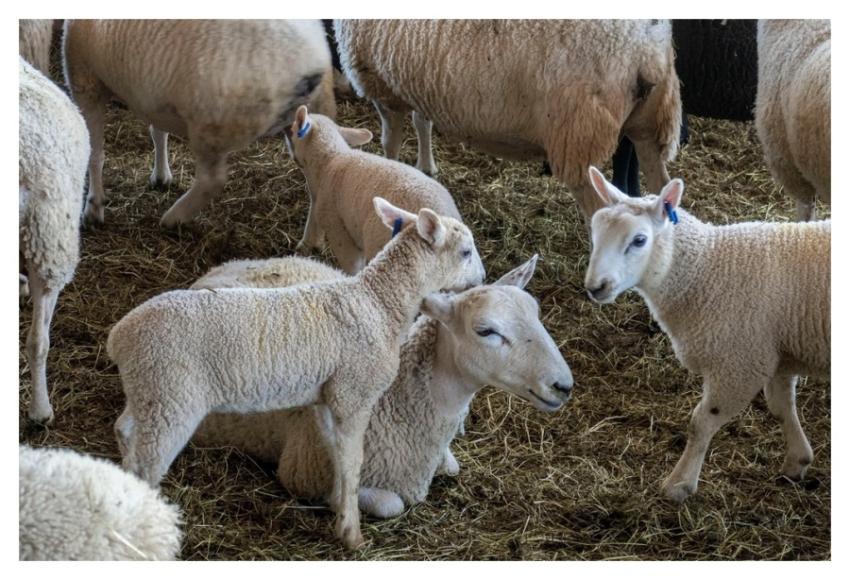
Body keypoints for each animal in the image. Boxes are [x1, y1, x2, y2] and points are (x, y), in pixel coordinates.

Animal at [62, 19, 336, 226]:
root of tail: (306, 62)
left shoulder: (84, 79)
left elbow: (94, 153)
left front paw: (94, 207)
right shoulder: (154, 91)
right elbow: (158, 132)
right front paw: (161, 175)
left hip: (211, 125)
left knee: (211, 181)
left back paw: (174, 217)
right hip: (314, 118)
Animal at [108, 199, 485, 549]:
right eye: (465, 252)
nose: (481, 280)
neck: (379, 304)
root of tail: (119, 336)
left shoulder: (327, 399)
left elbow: (335, 456)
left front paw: (338, 511)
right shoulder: (354, 394)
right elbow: (354, 463)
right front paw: (352, 534)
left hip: (149, 391)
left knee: (124, 431)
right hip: (173, 398)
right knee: (146, 466)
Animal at [191, 254, 573, 517]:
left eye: (537, 314)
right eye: (486, 331)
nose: (564, 385)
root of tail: (227, 268)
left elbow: (451, 466)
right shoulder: (306, 475)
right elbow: (390, 504)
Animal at [334, 19, 682, 219]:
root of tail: (645, 48)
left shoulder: (381, 84)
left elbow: (390, 142)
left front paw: (391, 175)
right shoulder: (418, 81)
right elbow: (423, 123)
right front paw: (426, 167)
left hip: (579, 137)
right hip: (650, 124)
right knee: (662, 185)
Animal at [582, 166, 830, 504]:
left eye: (639, 240)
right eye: (594, 233)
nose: (595, 287)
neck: (706, 267)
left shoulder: (738, 364)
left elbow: (700, 422)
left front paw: (679, 484)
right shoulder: (774, 352)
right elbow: (781, 408)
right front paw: (797, 460)